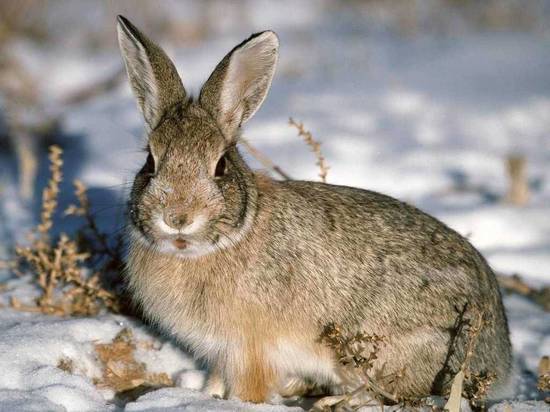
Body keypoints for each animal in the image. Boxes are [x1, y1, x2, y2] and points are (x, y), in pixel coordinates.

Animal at [116, 15, 512, 406]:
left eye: (221, 166)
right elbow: (216, 380)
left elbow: (249, 390)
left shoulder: (249, 350)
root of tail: (500, 356)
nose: (177, 217)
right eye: (150, 163)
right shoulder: (220, 353)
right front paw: (205, 395)